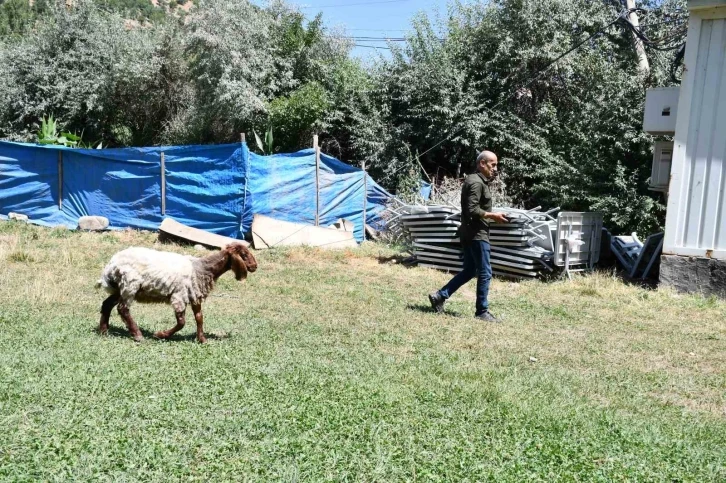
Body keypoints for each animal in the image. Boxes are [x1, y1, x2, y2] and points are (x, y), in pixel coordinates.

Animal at [95, 242, 258, 344]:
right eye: (244, 254)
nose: (255, 266)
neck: (203, 268)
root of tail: (111, 264)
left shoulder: (194, 295)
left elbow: (199, 318)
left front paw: (202, 339)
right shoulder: (179, 296)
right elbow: (181, 322)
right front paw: (160, 335)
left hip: (120, 288)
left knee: (107, 304)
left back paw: (103, 331)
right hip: (130, 284)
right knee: (123, 309)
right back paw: (137, 335)